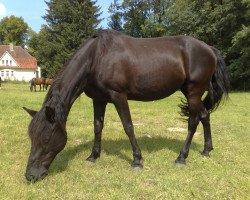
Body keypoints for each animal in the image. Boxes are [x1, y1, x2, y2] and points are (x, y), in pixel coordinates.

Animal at [22, 29, 229, 181]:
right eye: (31, 137)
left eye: (46, 138)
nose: (31, 175)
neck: (97, 57)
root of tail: (210, 49)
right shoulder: (99, 99)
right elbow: (97, 126)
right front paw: (93, 156)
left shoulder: (118, 96)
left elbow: (128, 126)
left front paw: (137, 160)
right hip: (191, 93)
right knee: (205, 115)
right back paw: (206, 150)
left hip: (193, 92)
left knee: (193, 122)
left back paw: (181, 157)